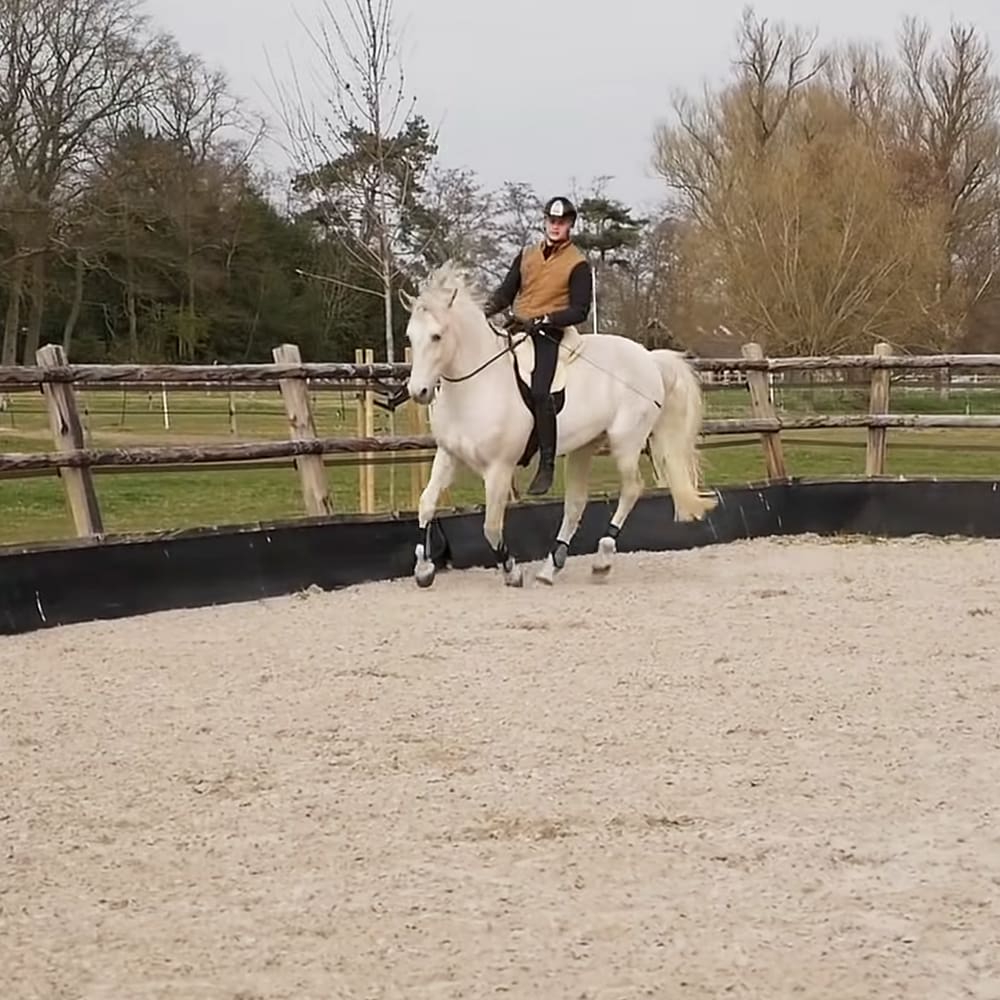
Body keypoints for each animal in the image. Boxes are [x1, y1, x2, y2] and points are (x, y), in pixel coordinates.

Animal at [399, 260, 717, 588]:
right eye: (410, 337)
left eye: (437, 336)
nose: (418, 391)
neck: (476, 385)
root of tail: (649, 358)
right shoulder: (448, 456)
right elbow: (426, 503)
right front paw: (423, 568)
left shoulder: (499, 469)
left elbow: (490, 526)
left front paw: (512, 571)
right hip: (584, 446)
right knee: (576, 503)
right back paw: (551, 566)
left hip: (625, 441)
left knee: (631, 489)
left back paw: (602, 559)